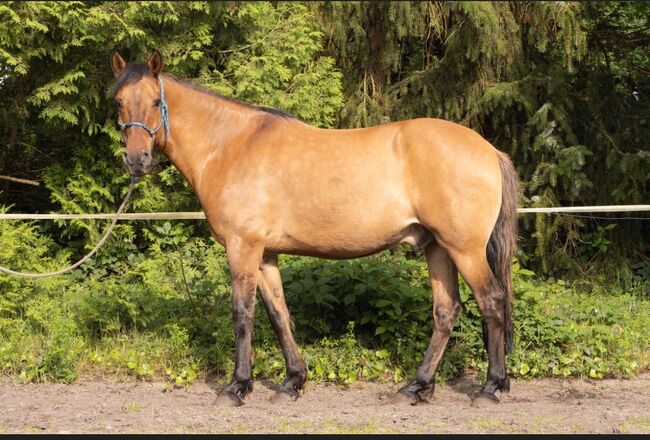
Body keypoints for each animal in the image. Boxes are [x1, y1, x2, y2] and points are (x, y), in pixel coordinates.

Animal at [109, 49, 520, 408]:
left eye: (153, 101)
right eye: (118, 102)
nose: (136, 160)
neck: (229, 145)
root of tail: (489, 150)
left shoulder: (242, 247)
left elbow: (243, 314)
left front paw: (237, 387)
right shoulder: (265, 254)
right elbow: (279, 315)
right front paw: (292, 382)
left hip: (464, 249)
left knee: (492, 302)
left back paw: (490, 387)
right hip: (437, 248)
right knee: (446, 311)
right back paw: (416, 388)